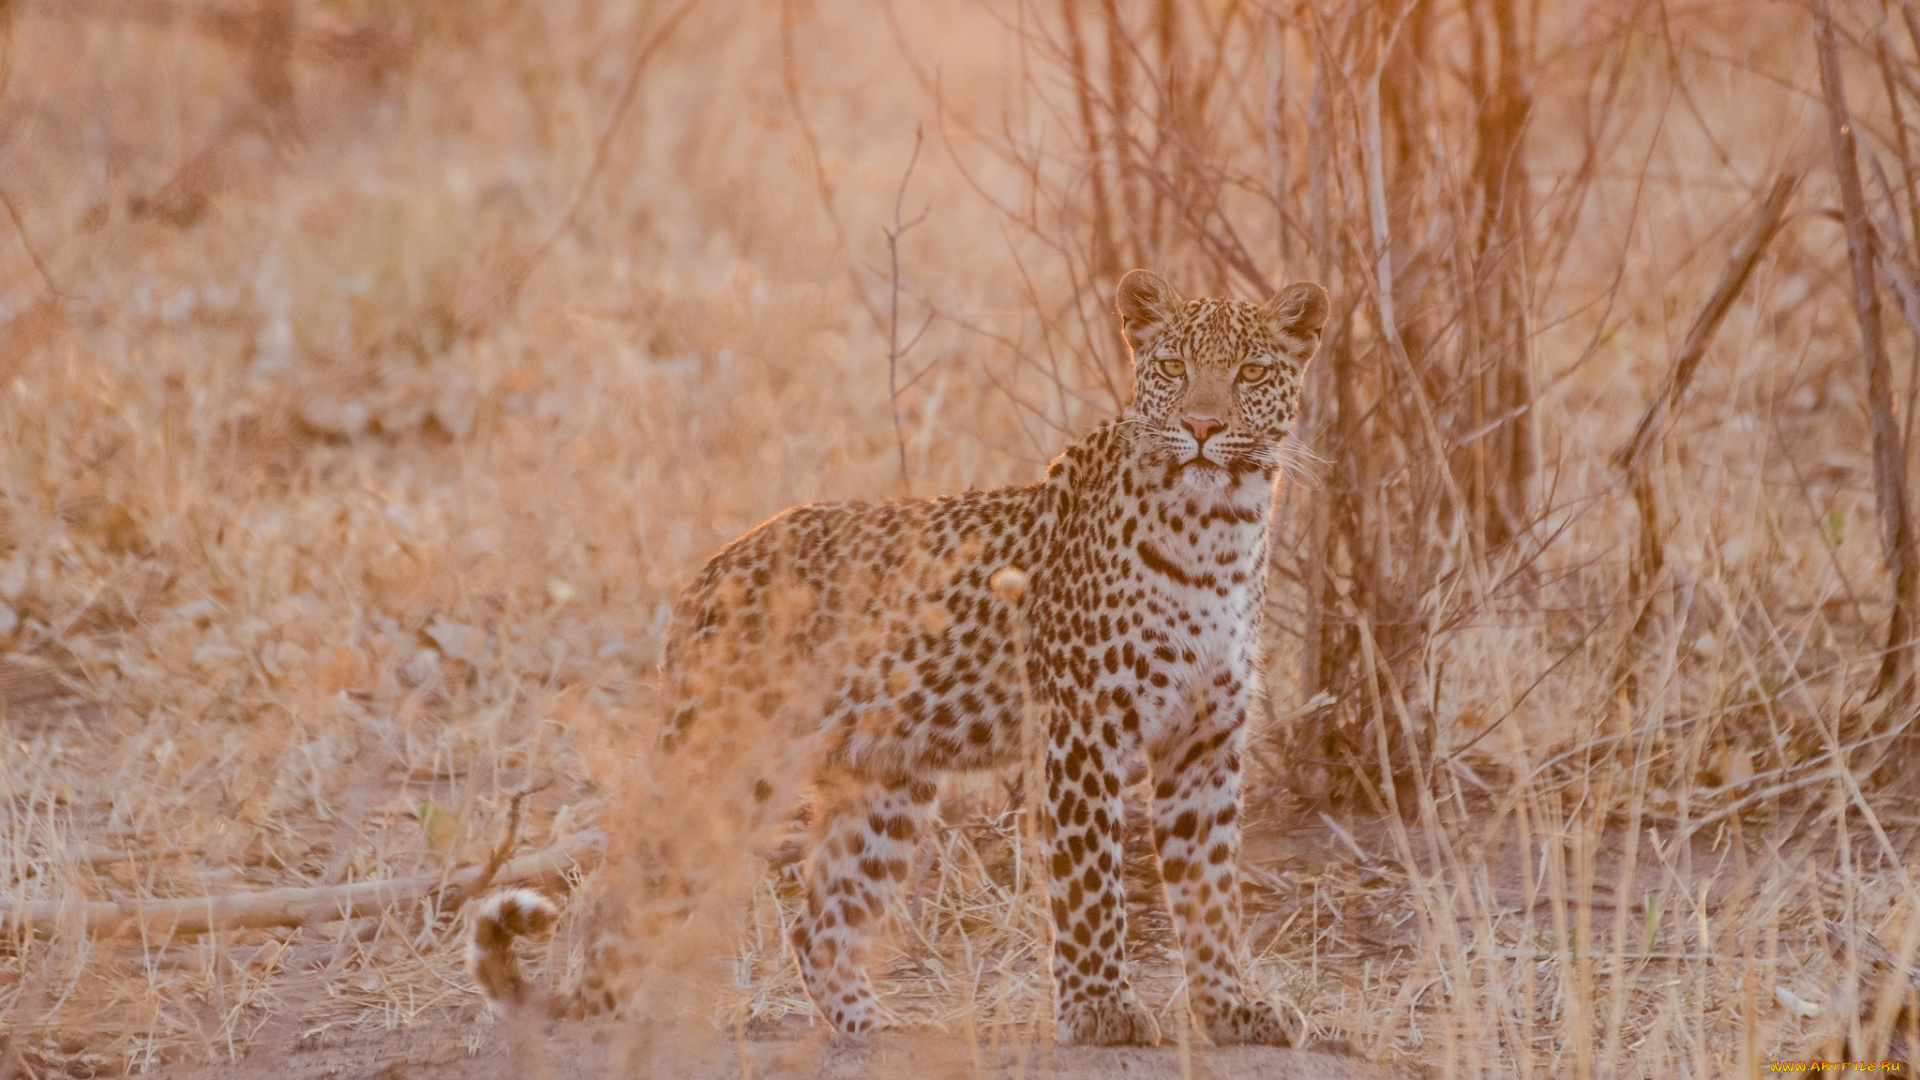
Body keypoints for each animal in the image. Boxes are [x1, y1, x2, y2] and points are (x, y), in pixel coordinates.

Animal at [472, 269, 1328, 1045]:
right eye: (1174, 367)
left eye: (1251, 373)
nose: (1204, 426)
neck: (1219, 532)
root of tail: (704, 578)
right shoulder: (1083, 730)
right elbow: (1092, 886)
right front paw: (1101, 1014)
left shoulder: (1205, 740)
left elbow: (1211, 887)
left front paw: (1234, 1009)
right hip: (725, 762)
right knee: (619, 891)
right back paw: (596, 1013)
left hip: (884, 786)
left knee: (818, 920)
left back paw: (873, 1028)